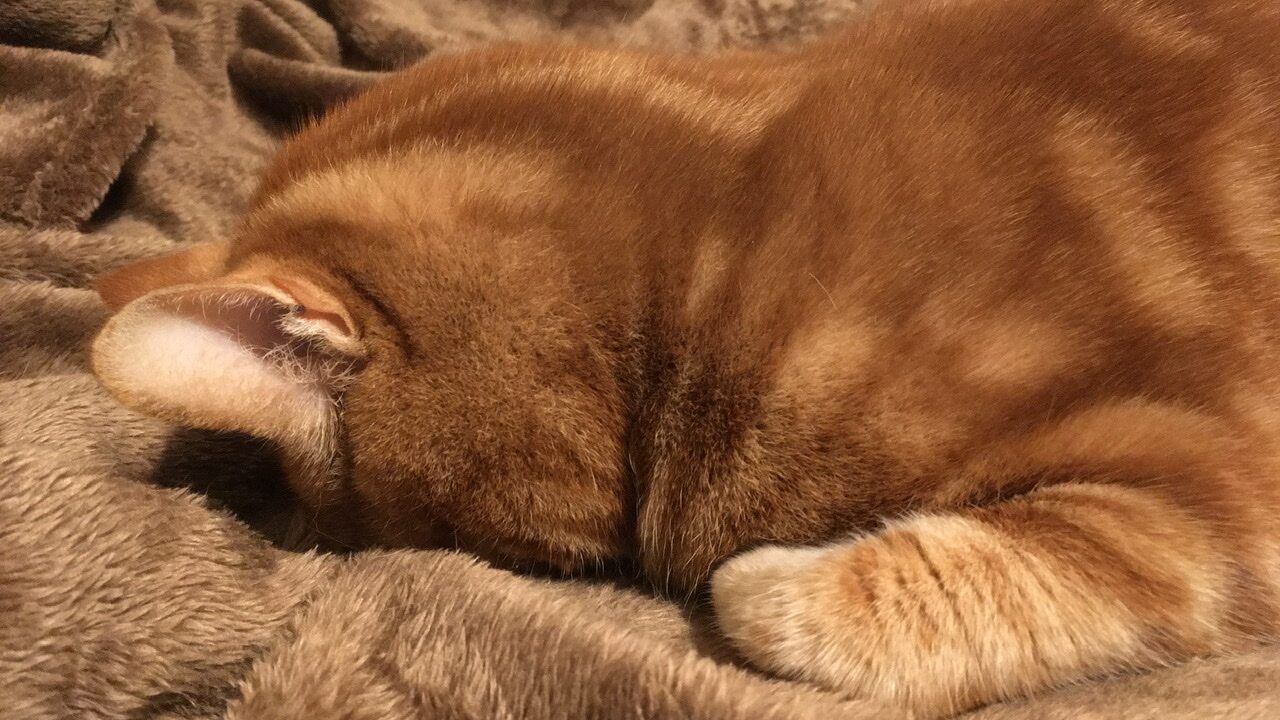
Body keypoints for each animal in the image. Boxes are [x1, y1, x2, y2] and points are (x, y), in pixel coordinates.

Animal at [90, 0, 1280, 716]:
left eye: (320, 502)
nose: (294, 530)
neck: (717, 234)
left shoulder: (1189, 505)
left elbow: (890, 585)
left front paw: (756, 582)